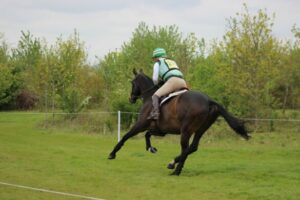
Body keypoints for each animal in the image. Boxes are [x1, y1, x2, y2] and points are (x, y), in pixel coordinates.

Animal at [106, 69, 250, 175]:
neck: (149, 97)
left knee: (186, 148)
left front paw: (112, 154)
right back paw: (175, 166)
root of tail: (209, 100)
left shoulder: (140, 125)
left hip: (186, 130)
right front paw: (151, 148)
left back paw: (174, 167)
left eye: (132, 82)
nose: (131, 99)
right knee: (193, 147)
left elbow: (125, 136)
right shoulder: (160, 130)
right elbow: (148, 134)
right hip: (200, 129)